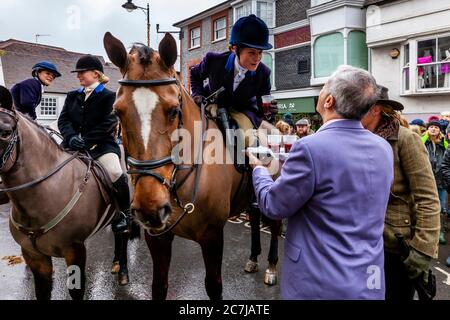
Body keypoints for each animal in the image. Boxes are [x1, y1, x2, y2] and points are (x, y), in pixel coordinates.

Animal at [0, 85, 134, 300]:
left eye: (5, 132)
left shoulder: (75, 249)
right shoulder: (34, 256)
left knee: (125, 231)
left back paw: (122, 271)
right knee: (117, 232)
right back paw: (114, 263)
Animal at [103, 32, 255, 300]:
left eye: (174, 111)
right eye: (117, 112)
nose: (150, 208)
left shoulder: (213, 236)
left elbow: (214, 286)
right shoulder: (158, 237)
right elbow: (159, 286)